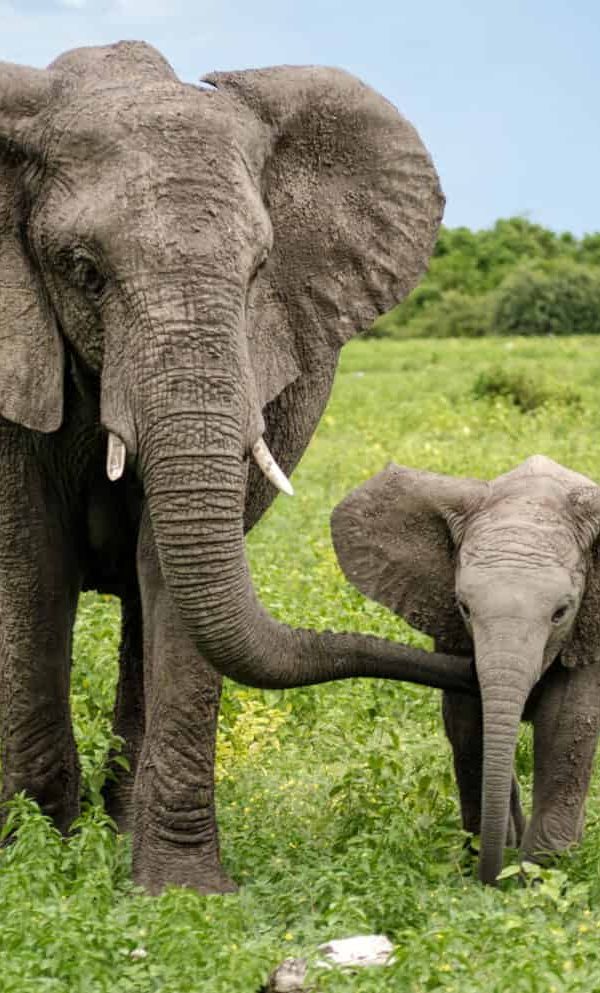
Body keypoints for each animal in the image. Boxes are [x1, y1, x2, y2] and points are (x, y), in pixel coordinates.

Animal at [0, 41, 477, 895]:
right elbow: (32, 564)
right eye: (83, 270)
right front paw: (35, 870)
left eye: (260, 270)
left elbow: (168, 574)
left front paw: (181, 893)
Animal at [331, 455, 600, 884]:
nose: (490, 879)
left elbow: (567, 725)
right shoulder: (449, 628)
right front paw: (492, 856)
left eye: (561, 612)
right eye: (464, 608)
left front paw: (537, 875)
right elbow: (467, 724)